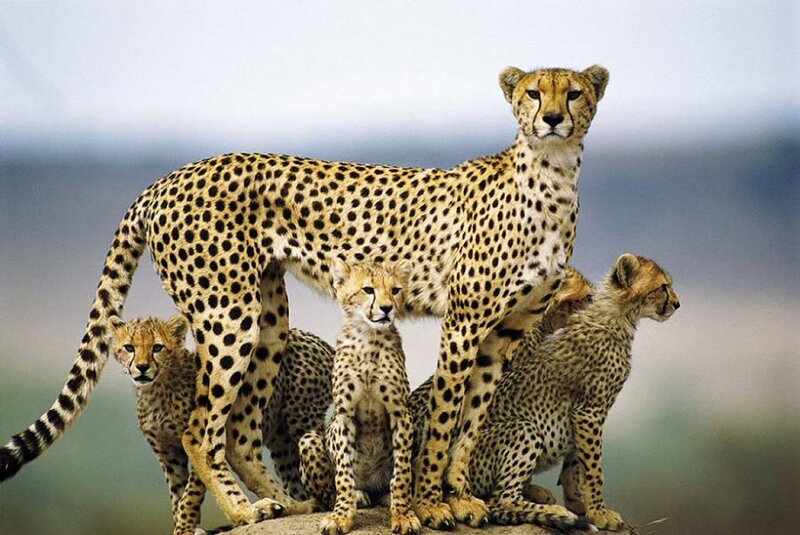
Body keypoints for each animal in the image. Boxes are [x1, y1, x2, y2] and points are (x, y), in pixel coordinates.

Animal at [111, 315, 335, 534]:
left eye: (157, 347)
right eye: (129, 347)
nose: (142, 367)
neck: (156, 387)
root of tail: (316, 340)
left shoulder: (199, 439)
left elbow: (190, 494)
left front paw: (185, 526)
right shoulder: (167, 454)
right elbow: (177, 494)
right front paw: (185, 525)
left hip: (301, 419)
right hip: (281, 442)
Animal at [298, 261, 420, 535]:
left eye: (395, 290)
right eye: (368, 290)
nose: (386, 308)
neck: (368, 337)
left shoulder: (400, 412)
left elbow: (402, 472)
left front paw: (403, 514)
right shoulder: (343, 415)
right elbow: (343, 474)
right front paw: (341, 516)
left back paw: (384, 496)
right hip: (309, 439)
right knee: (328, 492)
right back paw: (357, 496)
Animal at [464, 253, 679, 531]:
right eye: (663, 287)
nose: (677, 304)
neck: (617, 316)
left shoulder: (581, 414)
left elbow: (576, 462)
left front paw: (580, 503)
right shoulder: (589, 411)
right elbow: (594, 467)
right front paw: (599, 512)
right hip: (523, 429)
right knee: (500, 501)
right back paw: (553, 512)